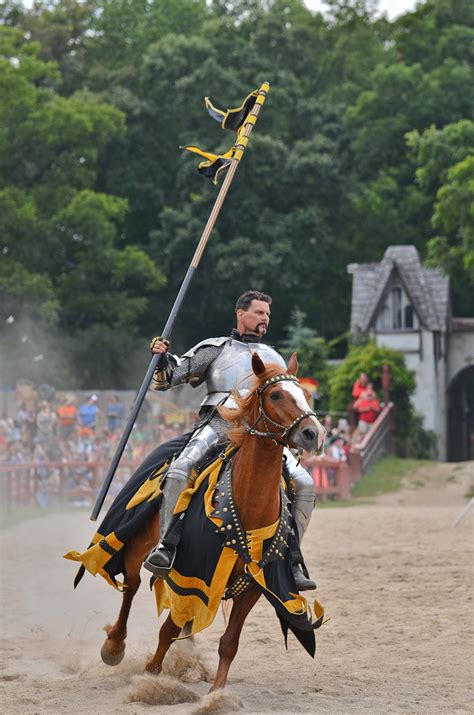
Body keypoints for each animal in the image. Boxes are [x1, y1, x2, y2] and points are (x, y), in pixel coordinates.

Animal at [98, 352, 324, 692]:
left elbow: (228, 642)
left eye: (306, 396)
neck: (249, 502)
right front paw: (152, 673)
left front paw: (217, 693)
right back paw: (114, 645)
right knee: (132, 585)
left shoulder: (252, 586)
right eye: (275, 395)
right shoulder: (191, 570)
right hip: (140, 547)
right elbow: (167, 630)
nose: (313, 434)